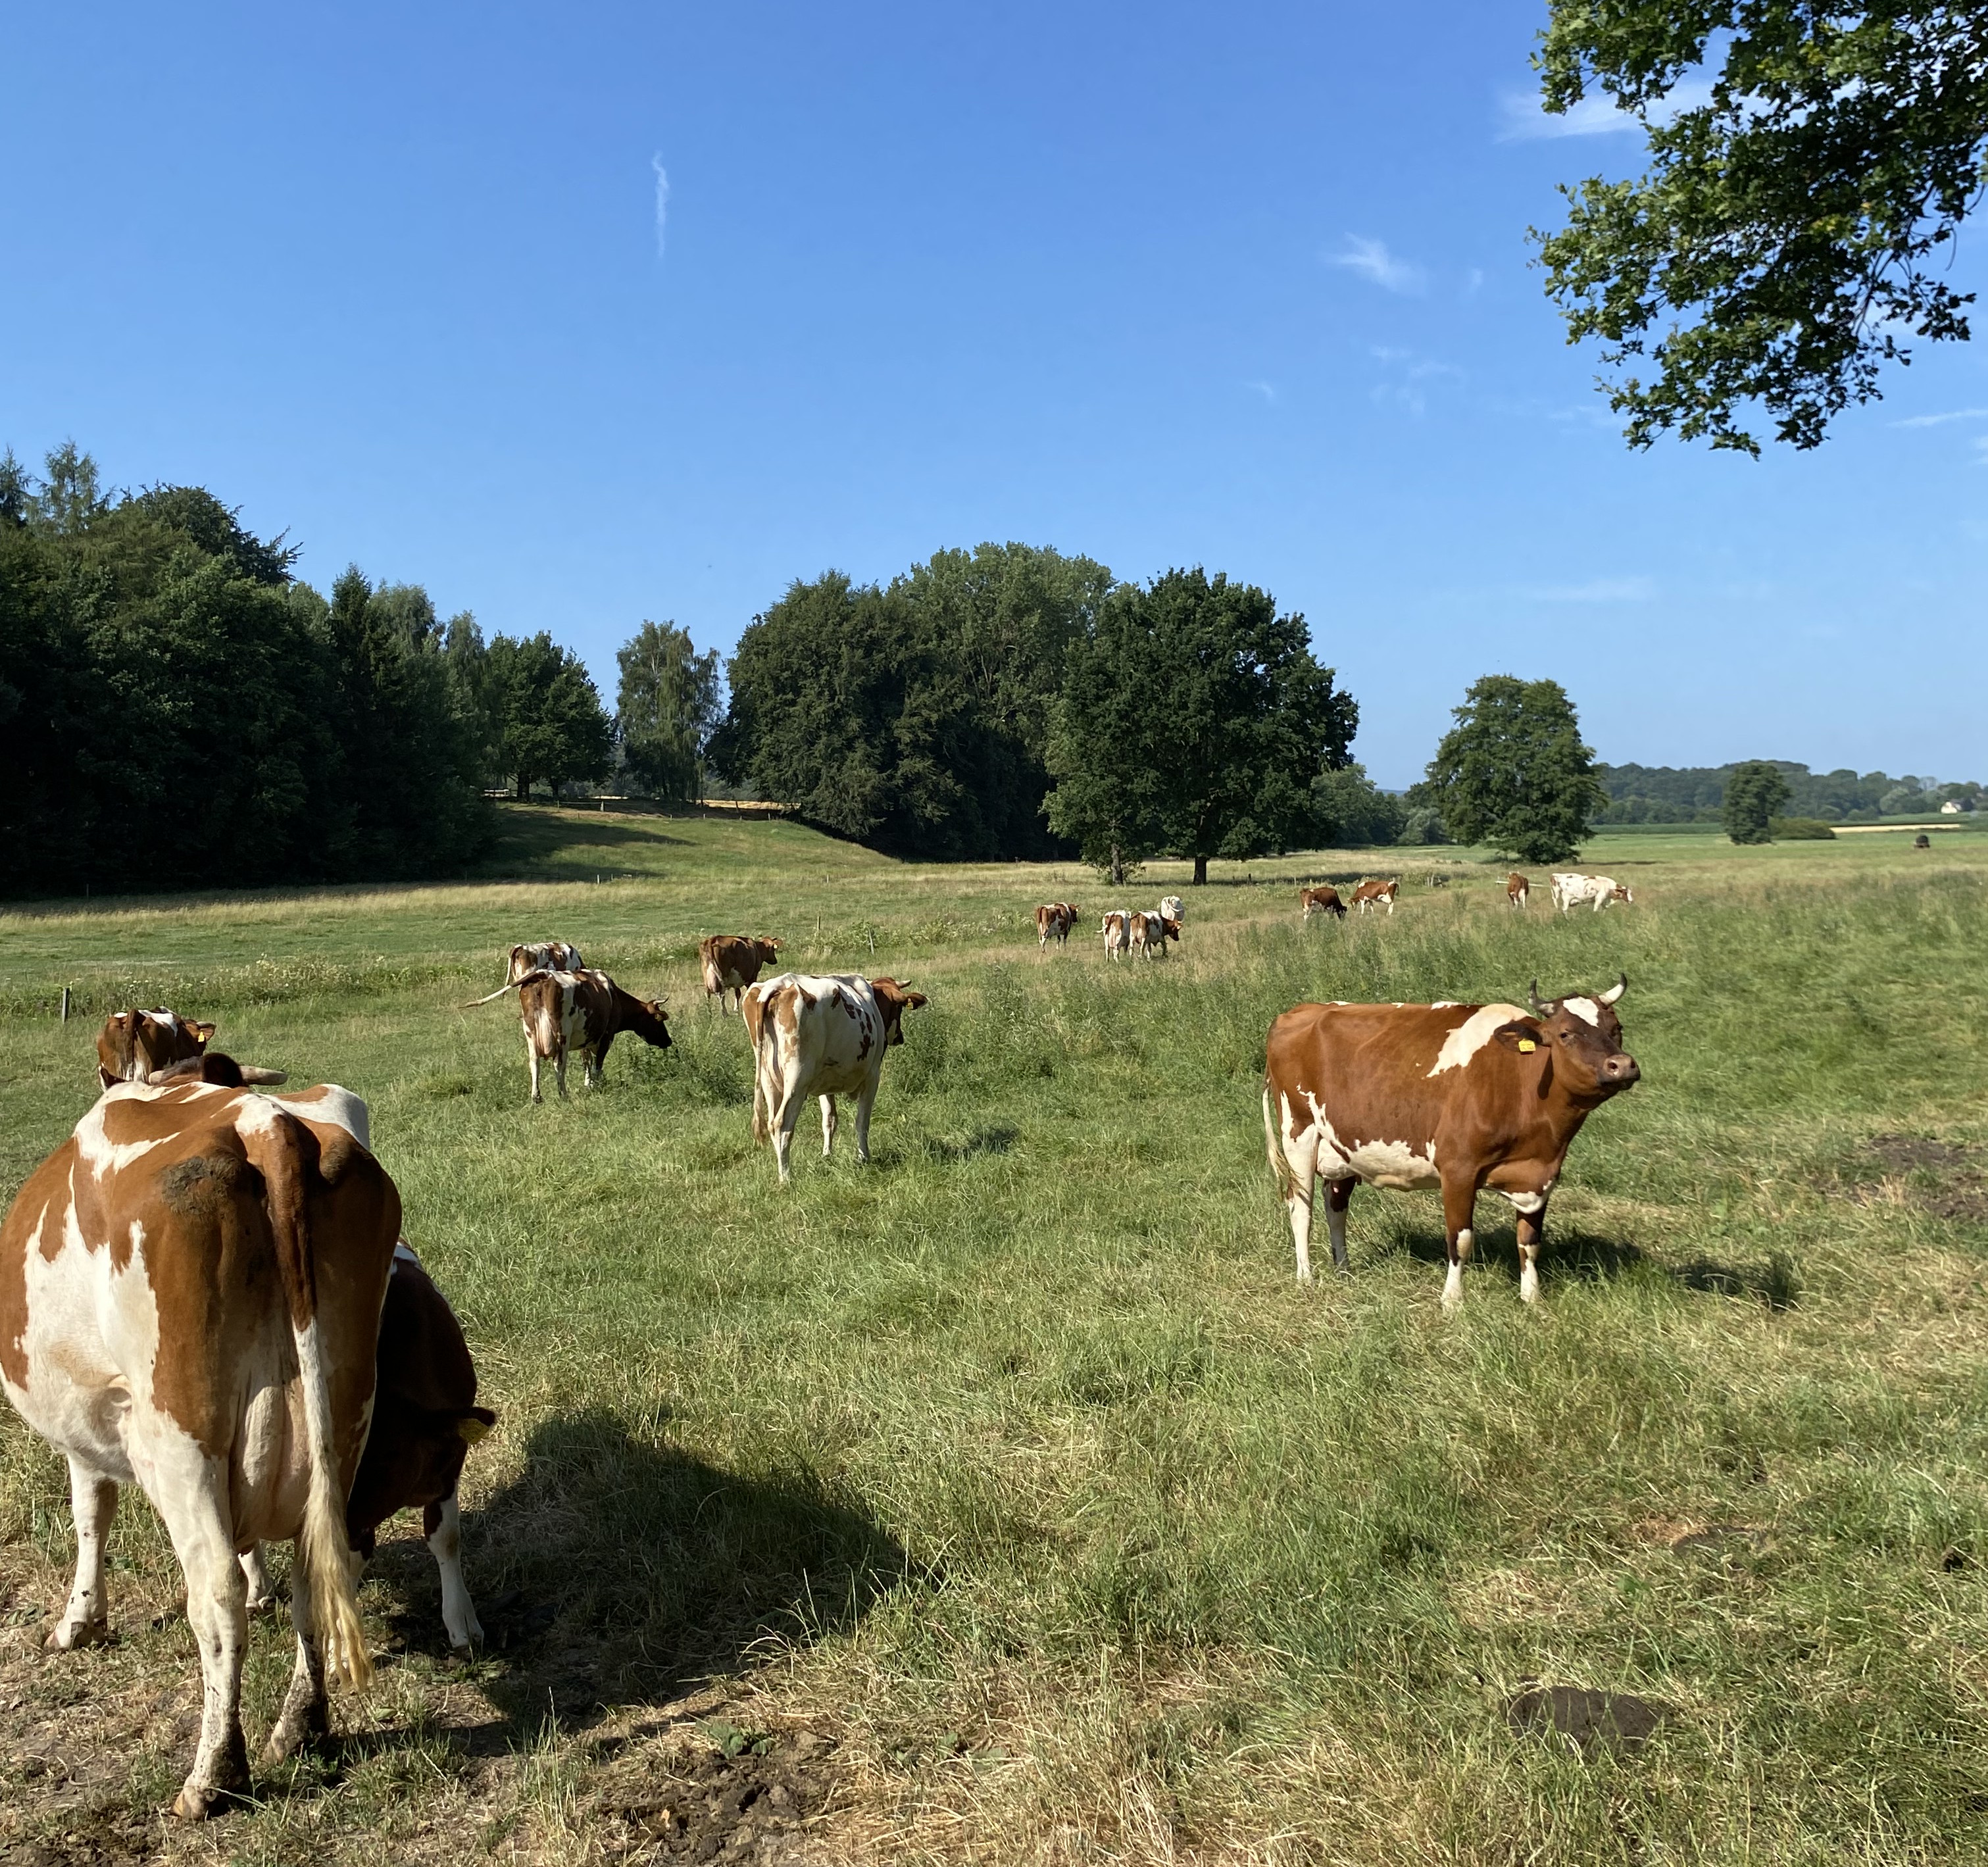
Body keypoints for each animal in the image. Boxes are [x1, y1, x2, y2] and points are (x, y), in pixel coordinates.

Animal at [1, 1073, 400, 1817]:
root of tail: (264, 1124)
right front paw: (262, 1586)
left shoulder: (89, 1420)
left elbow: (90, 1515)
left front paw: (79, 1623)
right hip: (345, 1413)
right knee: (324, 1561)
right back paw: (301, 1723)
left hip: (178, 1439)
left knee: (213, 1594)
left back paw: (214, 1774)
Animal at [517, 968, 671, 1102]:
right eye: (658, 1020)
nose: (669, 1041)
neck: (615, 997)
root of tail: (544, 975)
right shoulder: (607, 1036)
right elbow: (598, 1063)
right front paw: (597, 1086)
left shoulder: (585, 1038)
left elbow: (587, 1061)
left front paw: (589, 1084)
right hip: (562, 1034)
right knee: (559, 1064)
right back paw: (564, 1095)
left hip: (530, 1033)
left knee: (534, 1062)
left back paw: (536, 1097)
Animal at [740, 974, 927, 1184]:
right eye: (899, 1008)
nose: (900, 1037)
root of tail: (776, 985)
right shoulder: (873, 1077)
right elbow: (862, 1121)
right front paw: (864, 1157)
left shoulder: (824, 1081)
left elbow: (829, 1120)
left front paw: (827, 1155)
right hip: (796, 1081)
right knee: (781, 1125)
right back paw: (786, 1177)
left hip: (768, 1080)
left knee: (772, 1123)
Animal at [1261, 975, 1639, 1309]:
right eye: (1565, 1034)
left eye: (1616, 1028)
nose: (1622, 1065)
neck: (1519, 1083)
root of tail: (1301, 1011)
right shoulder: (1458, 1169)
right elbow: (1460, 1238)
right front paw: (1452, 1301)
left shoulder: (1539, 1174)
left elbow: (1529, 1242)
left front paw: (1532, 1300)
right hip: (1299, 1131)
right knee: (1301, 1205)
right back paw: (1306, 1277)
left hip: (1342, 1144)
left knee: (1335, 1205)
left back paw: (1344, 1269)